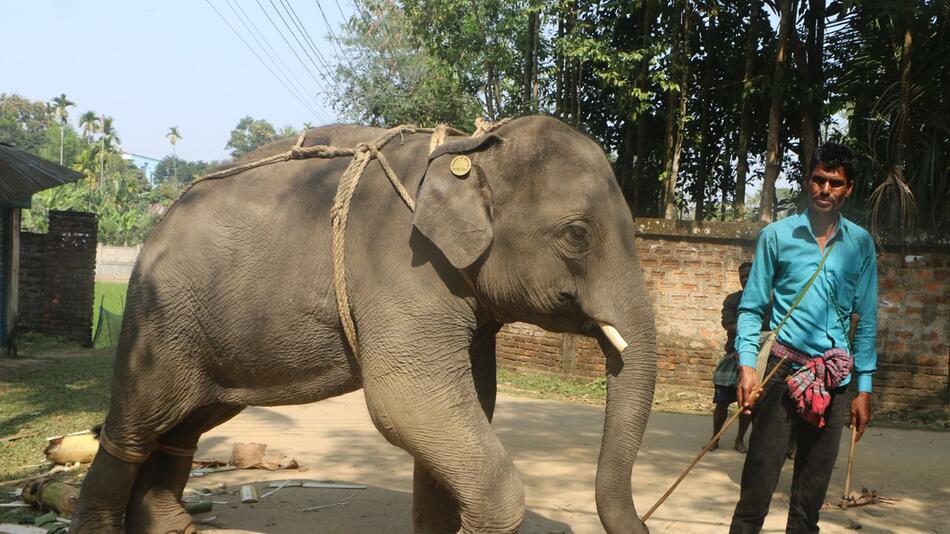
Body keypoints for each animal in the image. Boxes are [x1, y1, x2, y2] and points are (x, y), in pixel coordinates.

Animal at [72, 117, 656, 534]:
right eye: (577, 235)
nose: (647, 527)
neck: (470, 148)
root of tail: (157, 222)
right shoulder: (403, 268)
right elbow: (407, 404)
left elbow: (465, 405)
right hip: (158, 320)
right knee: (138, 423)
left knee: (185, 426)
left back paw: (171, 528)